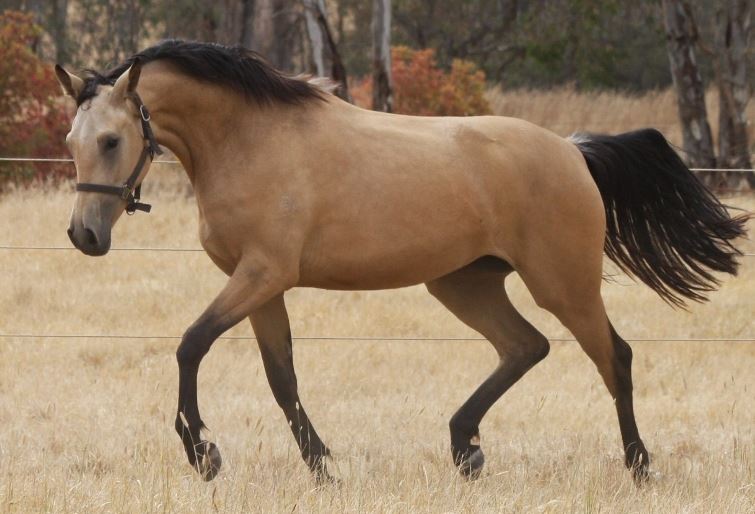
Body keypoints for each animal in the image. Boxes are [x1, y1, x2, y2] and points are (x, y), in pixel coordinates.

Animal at [55, 40, 749, 483]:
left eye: (112, 140)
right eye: (71, 140)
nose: (84, 235)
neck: (249, 139)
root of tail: (573, 150)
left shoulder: (262, 275)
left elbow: (190, 345)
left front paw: (204, 454)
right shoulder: (260, 285)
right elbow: (282, 380)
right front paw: (323, 470)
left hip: (563, 283)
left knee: (614, 357)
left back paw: (639, 467)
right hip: (462, 285)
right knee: (525, 347)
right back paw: (465, 448)